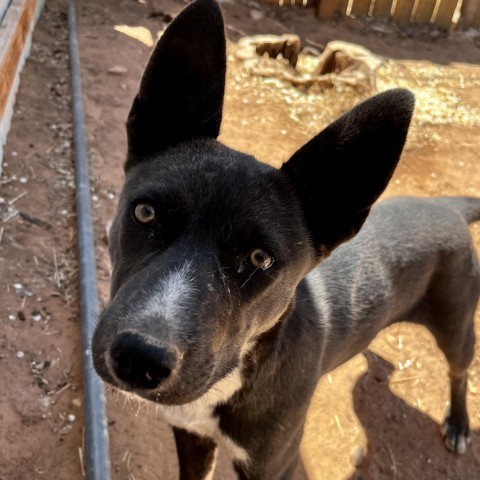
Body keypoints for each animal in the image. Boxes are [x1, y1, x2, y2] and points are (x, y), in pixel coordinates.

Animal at [92, 1, 478, 478]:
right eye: (145, 212)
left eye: (261, 259)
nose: (139, 357)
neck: (239, 372)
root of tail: (448, 207)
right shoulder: (191, 436)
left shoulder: (275, 464)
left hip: (456, 326)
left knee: (460, 371)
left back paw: (458, 423)